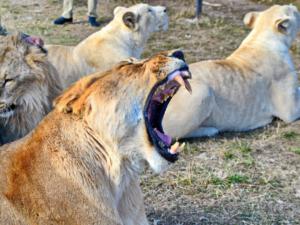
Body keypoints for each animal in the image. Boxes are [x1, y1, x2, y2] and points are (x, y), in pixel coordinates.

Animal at [163, 4, 300, 139]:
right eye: (292, 11)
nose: (293, 5)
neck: (261, 37)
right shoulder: (289, 110)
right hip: (202, 91)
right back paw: (210, 130)